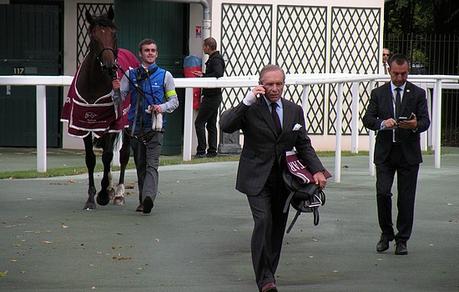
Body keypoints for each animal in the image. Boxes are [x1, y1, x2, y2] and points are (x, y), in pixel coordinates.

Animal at [62, 8, 139, 209]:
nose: (110, 66)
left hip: (127, 122)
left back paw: (118, 193)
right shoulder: (83, 123)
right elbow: (90, 159)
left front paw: (103, 194)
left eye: (114, 33)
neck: (95, 83)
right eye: (93, 36)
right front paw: (91, 198)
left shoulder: (111, 123)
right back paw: (112, 189)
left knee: (123, 154)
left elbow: (107, 156)